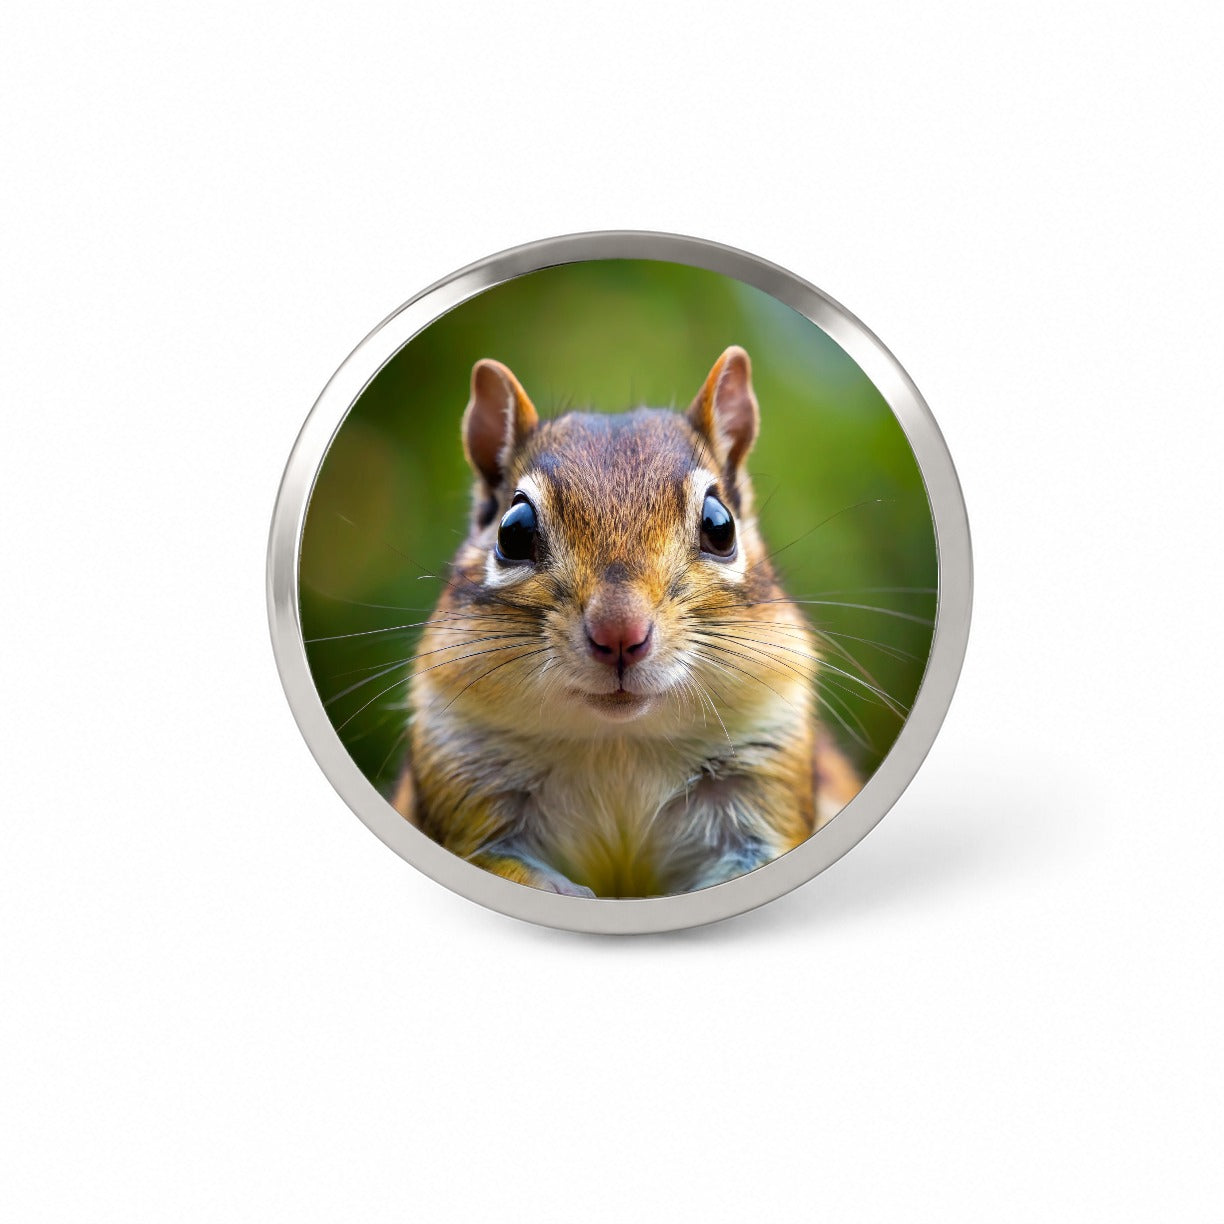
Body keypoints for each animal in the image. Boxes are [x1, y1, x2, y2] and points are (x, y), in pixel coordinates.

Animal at [391, 346, 861, 898]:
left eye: (720, 525)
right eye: (513, 531)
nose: (619, 633)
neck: (618, 744)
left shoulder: (765, 769)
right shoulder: (464, 779)